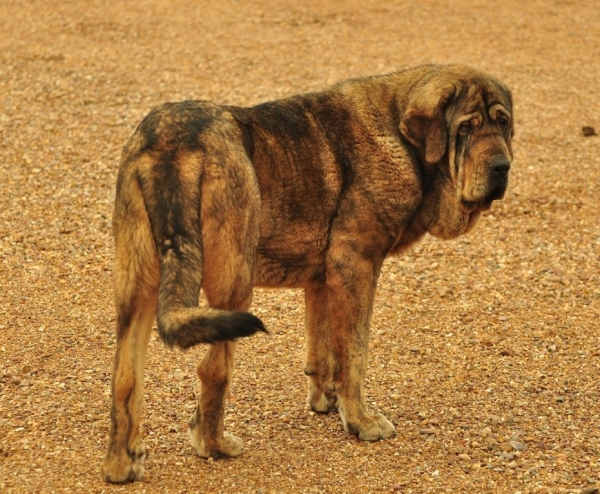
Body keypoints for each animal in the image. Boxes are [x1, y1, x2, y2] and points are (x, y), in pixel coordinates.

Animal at [101, 62, 512, 482]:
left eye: (503, 123)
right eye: (466, 127)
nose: (502, 167)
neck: (401, 135)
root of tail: (171, 144)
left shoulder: (323, 281)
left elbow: (323, 348)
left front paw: (326, 400)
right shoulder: (355, 266)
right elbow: (354, 354)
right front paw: (361, 419)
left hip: (138, 290)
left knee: (125, 377)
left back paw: (121, 463)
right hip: (234, 284)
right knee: (213, 369)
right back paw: (213, 444)